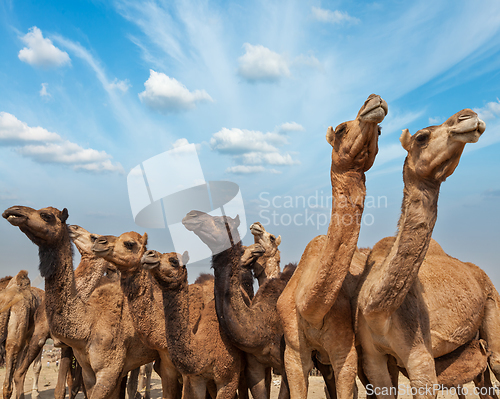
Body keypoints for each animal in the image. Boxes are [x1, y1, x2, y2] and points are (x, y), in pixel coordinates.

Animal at [278, 94, 386, 399]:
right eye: (340, 129)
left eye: (380, 132)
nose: (375, 101)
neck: (308, 306)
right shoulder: (294, 350)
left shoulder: (345, 351)